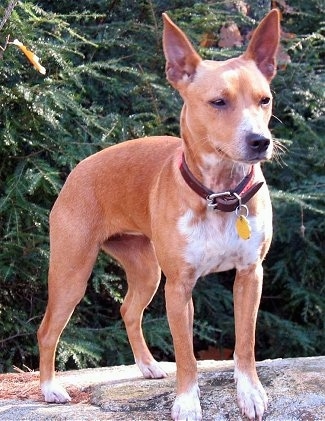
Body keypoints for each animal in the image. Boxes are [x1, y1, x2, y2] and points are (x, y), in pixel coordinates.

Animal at [38, 9, 280, 420]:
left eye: (264, 99)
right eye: (218, 102)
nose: (259, 141)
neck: (220, 195)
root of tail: (78, 168)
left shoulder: (250, 276)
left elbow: (244, 344)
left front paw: (249, 392)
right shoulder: (179, 286)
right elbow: (186, 355)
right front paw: (186, 401)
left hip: (146, 271)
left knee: (128, 310)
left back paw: (148, 365)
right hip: (71, 275)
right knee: (48, 330)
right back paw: (50, 388)